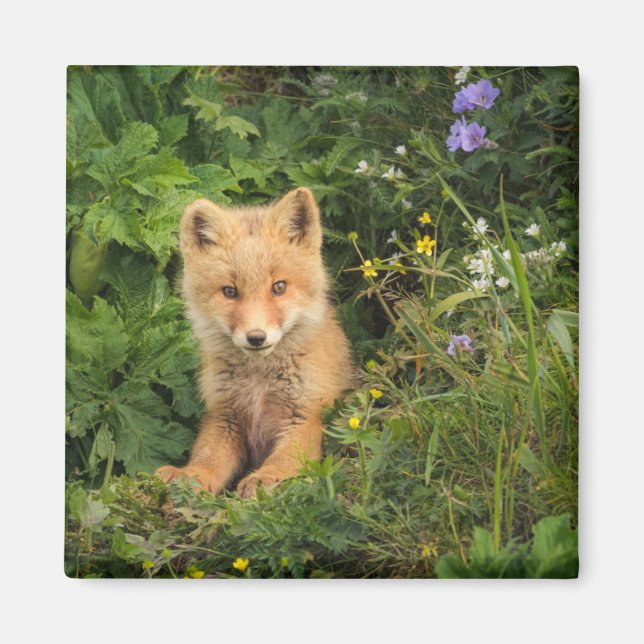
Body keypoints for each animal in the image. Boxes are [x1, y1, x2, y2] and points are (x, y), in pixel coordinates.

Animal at [156, 188, 353, 498]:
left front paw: (267, 477)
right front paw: (190, 475)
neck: (260, 382)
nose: (256, 337)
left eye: (279, 287)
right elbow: (208, 457)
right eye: (229, 292)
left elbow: (286, 459)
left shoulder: (306, 415)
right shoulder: (224, 417)